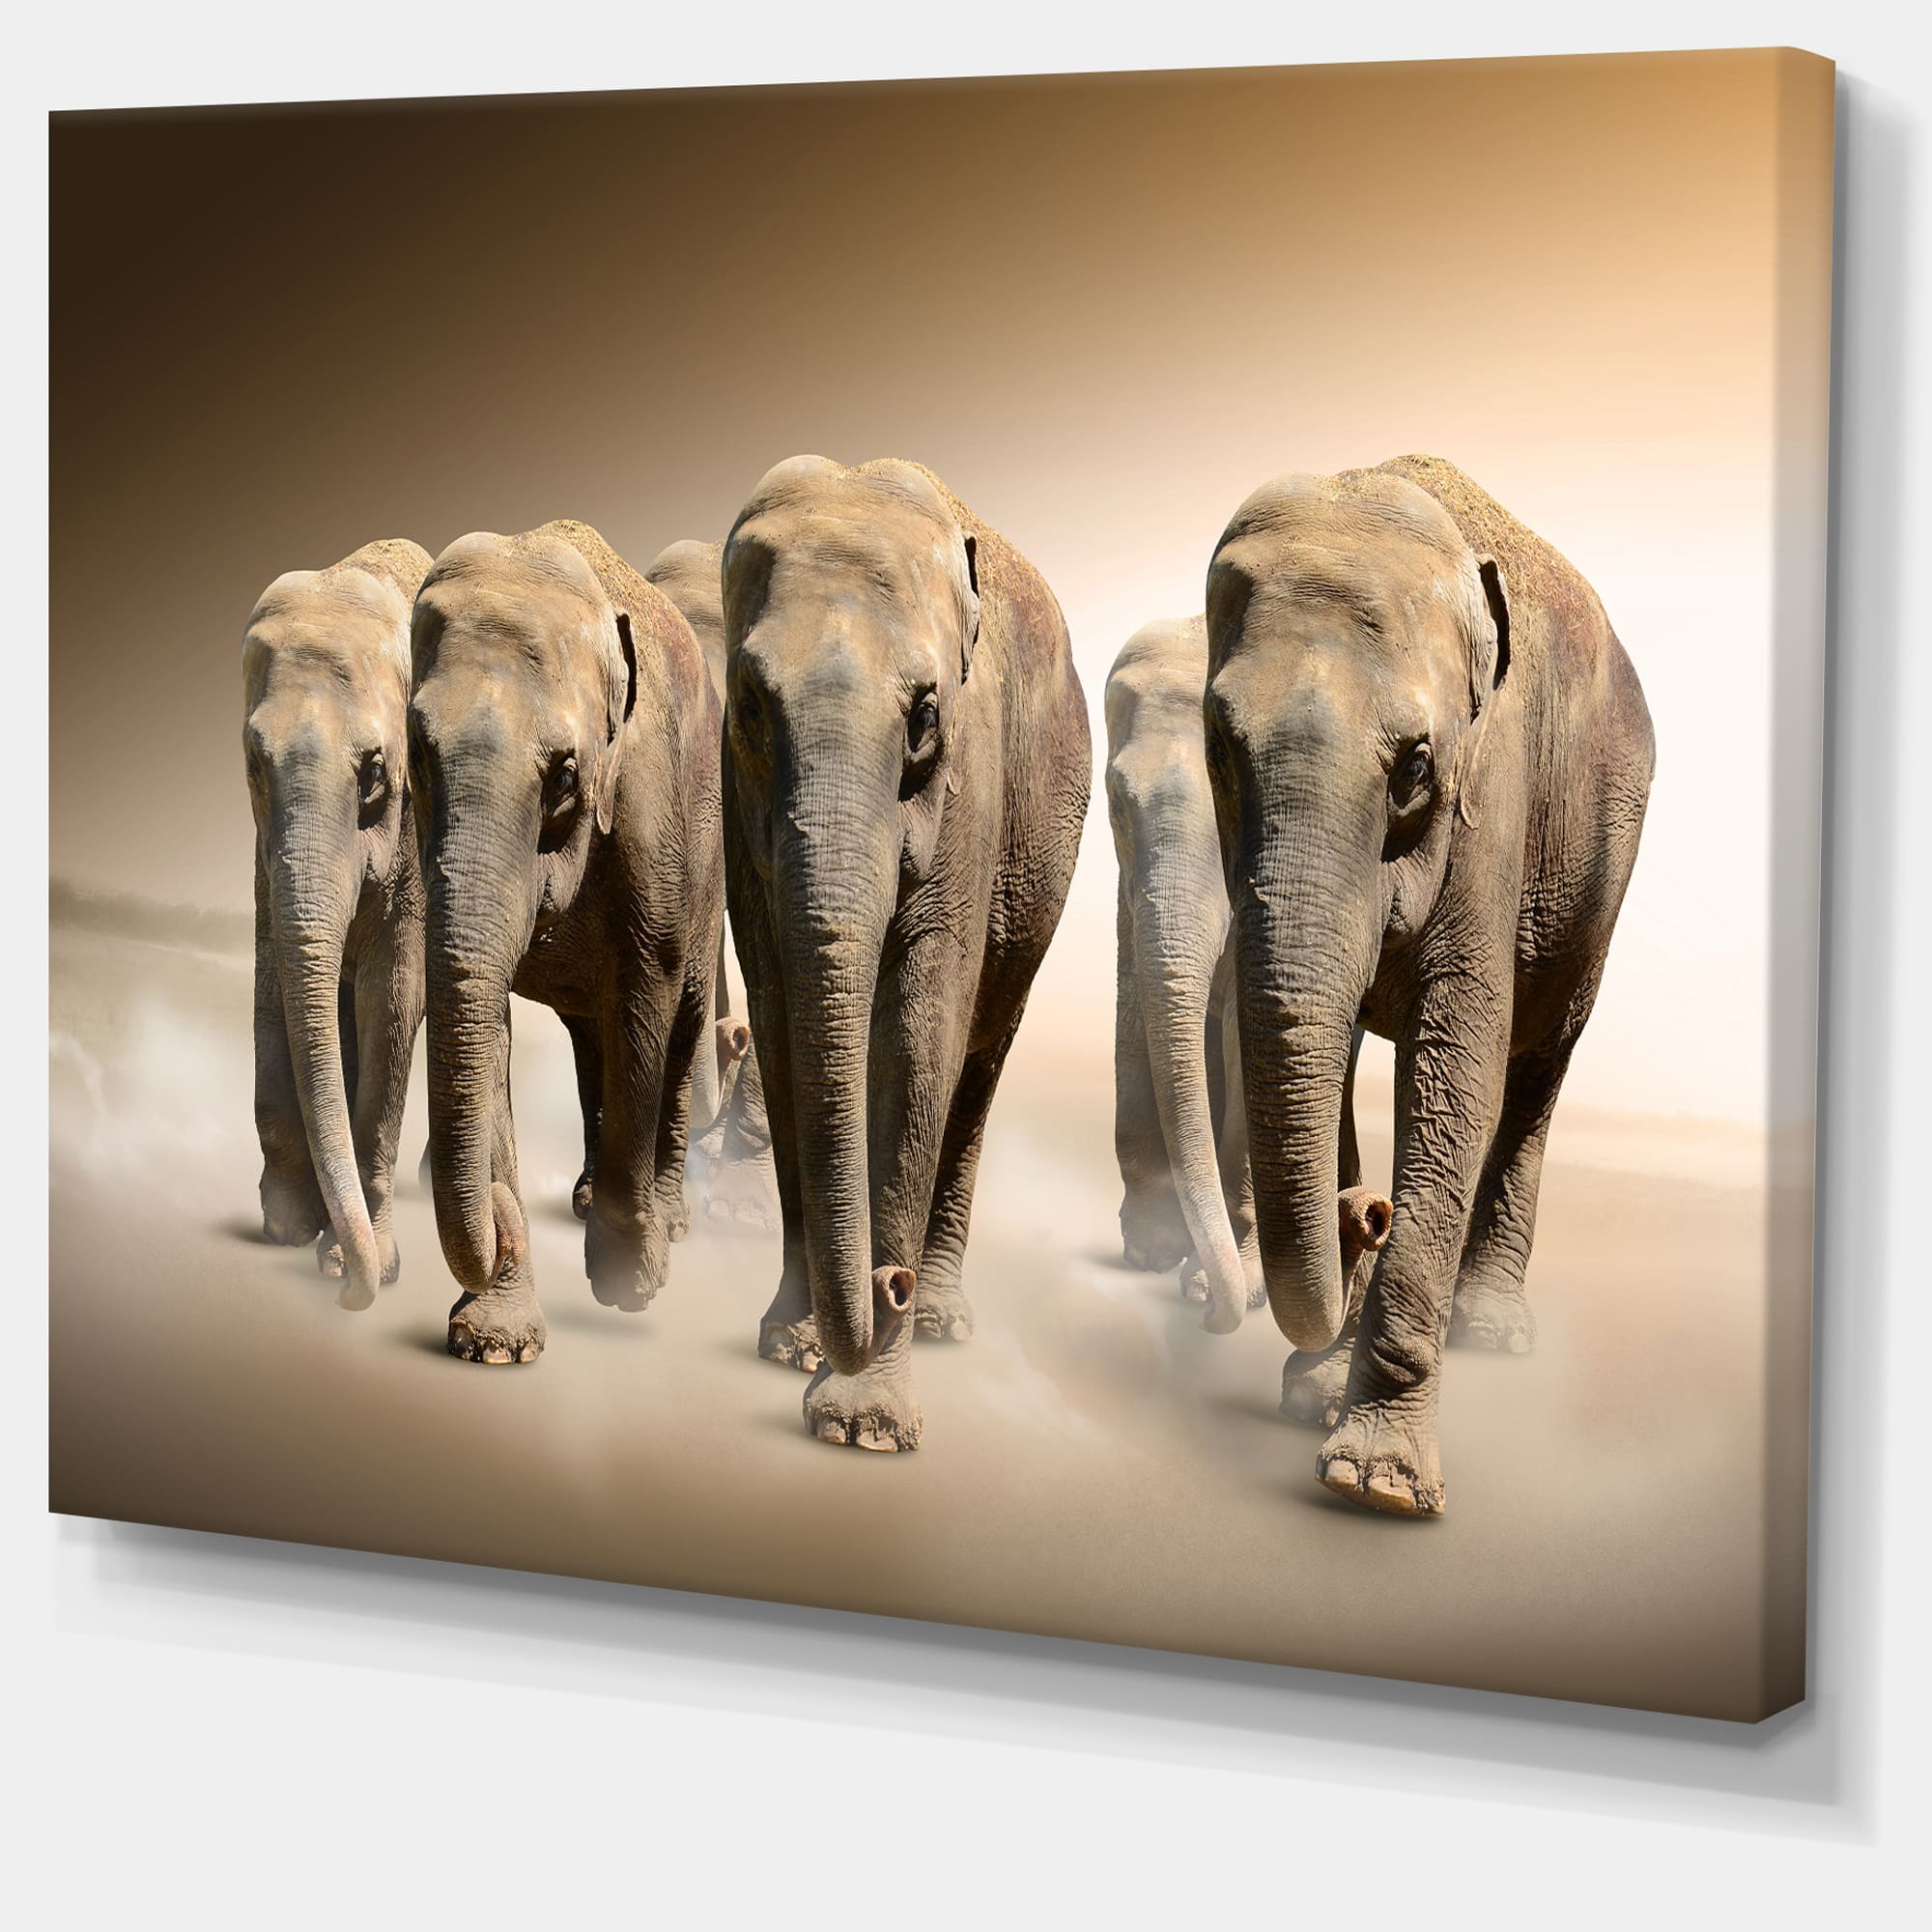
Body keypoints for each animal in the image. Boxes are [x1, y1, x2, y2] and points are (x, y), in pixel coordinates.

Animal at [408, 519, 724, 1364]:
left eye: (564, 775)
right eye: (417, 754)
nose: (502, 1223)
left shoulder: (650, 805)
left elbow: (647, 993)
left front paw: (630, 1279)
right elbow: (483, 1020)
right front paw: (495, 1342)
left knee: (680, 1020)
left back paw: (668, 1217)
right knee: (589, 1036)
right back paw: (582, 1197)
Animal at [720, 456, 1091, 1450]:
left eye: (925, 715)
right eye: (750, 707)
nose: (885, 1284)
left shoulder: (972, 783)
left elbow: (922, 1033)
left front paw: (864, 1427)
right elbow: (778, 1016)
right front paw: (794, 1347)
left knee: (981, 1053)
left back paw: (941, 1320)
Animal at [1108, 616, 1395, 1334]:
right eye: (1117, 805)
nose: (1210, 1313)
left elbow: (1250, 1034)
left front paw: (1226, 1282)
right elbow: (1136, 999)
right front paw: (1152, 1253)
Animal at [1204, 454, 1653, 1516]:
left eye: (1415, 765)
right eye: (1216, 746)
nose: (1362, 1212)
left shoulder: (1495, 796)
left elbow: (1455, 1069)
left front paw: (1375, 1483)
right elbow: (1309, 1052)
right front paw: (1314, 1396)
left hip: (1601, 873)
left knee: (1535, 1069)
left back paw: (1488, 1328)